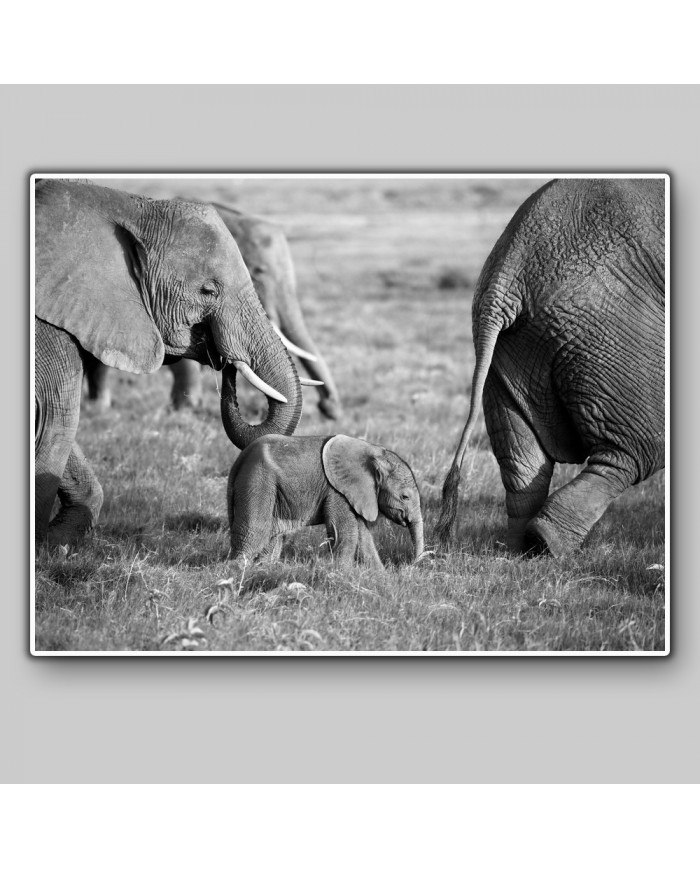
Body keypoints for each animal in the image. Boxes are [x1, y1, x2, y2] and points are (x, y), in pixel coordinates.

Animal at [227, 434, 425, 569]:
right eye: (405, 497)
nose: (411, 564)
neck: (374, 451)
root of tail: (240, 459)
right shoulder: (337, 491)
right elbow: (345, 532)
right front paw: (343, 573)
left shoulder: (355, 493)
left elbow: (363, 536)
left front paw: (381, 577)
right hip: (257, 480)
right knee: (255, 531)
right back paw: (238, 570)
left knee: (272, 536)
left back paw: (264, 569)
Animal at [436, 178, 665, 557]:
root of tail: (508, 273)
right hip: (609, 326)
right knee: (636, 449)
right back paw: (548, 544)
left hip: (513, 346)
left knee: (521, 457)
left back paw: (521, 548)